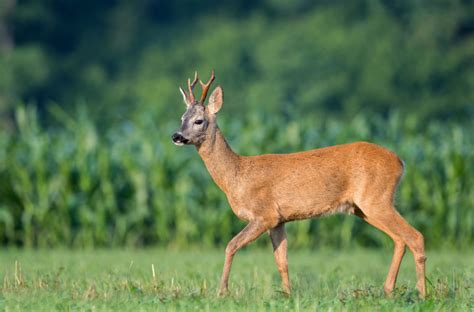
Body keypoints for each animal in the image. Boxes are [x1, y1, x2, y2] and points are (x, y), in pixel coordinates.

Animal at [170, 70, 426, 298]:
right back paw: (389, 290)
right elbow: (282, 261)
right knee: (399, 239)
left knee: (415, 236)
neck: (237, 176)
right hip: (362, 208)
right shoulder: (279, 220)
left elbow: (231, 245)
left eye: (199, 120)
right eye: (181, 118)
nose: (176, 136)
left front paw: (221, 292)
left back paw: (422, 294)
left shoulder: (265, 214)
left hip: (376, 199)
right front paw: (287, 295)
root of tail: (400, 162)